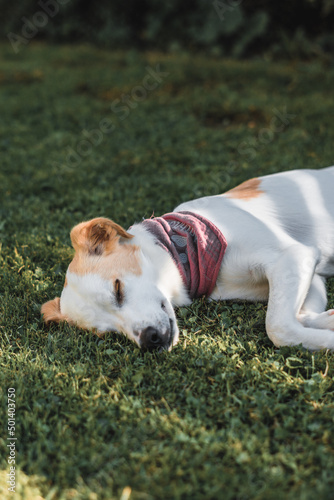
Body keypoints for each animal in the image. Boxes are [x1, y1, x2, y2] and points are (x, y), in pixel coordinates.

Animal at [42, 167, 334, 352]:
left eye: (118, 289)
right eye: (108, 333)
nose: (149, 341)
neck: (186, 248)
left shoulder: (292, 256)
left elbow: (277, 326)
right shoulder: (308, 276)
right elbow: (300, 315)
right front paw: (328, 323)